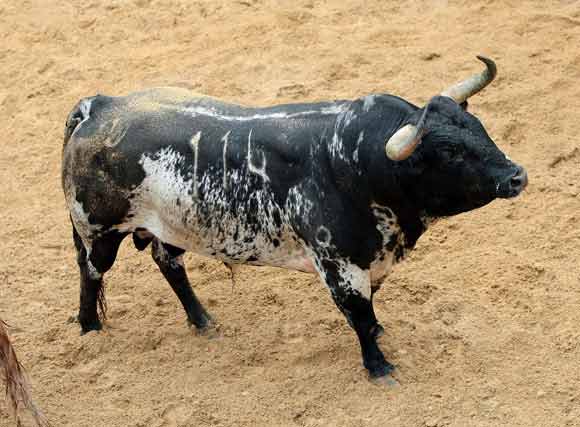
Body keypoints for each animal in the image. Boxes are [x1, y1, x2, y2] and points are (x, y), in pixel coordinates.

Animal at [62, 56, 524, 378]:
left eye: (477, 125)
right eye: (448, 151)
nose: (516, 176)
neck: (355, 162)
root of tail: (97, 107)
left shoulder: (370, 260)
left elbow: (370, 314)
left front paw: (380, 336)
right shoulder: (338, 265)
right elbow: (359, 315)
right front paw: (379, 367)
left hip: (171, 226)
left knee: (168, 263)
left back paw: (203, 321)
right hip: (99, 231)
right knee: (92, 271)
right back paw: (89, 329)